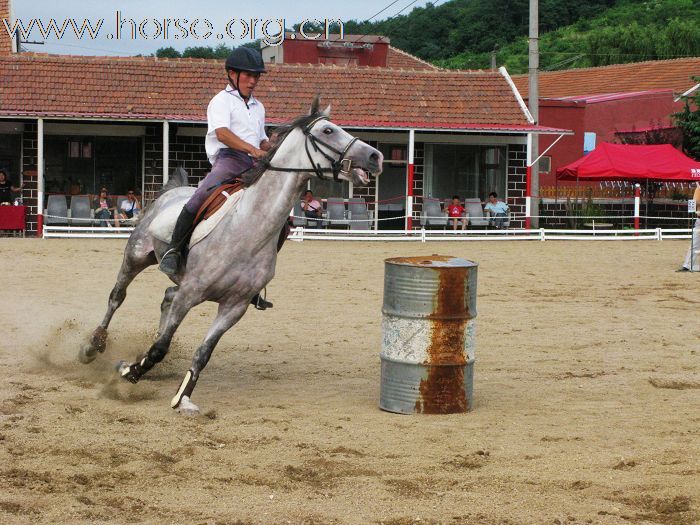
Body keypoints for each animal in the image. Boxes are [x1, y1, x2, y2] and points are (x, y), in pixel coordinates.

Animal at [80, 96, 386, 412]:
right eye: (327, 131)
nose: (376, 156)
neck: (247, 229)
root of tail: (172, 192)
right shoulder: (190, 293)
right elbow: (161, 347)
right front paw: (129, 370)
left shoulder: (234, 307)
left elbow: (202, 352)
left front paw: (182, 396)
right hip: (136, 257)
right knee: (117, 297)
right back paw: (93, 346)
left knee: (166, 297)